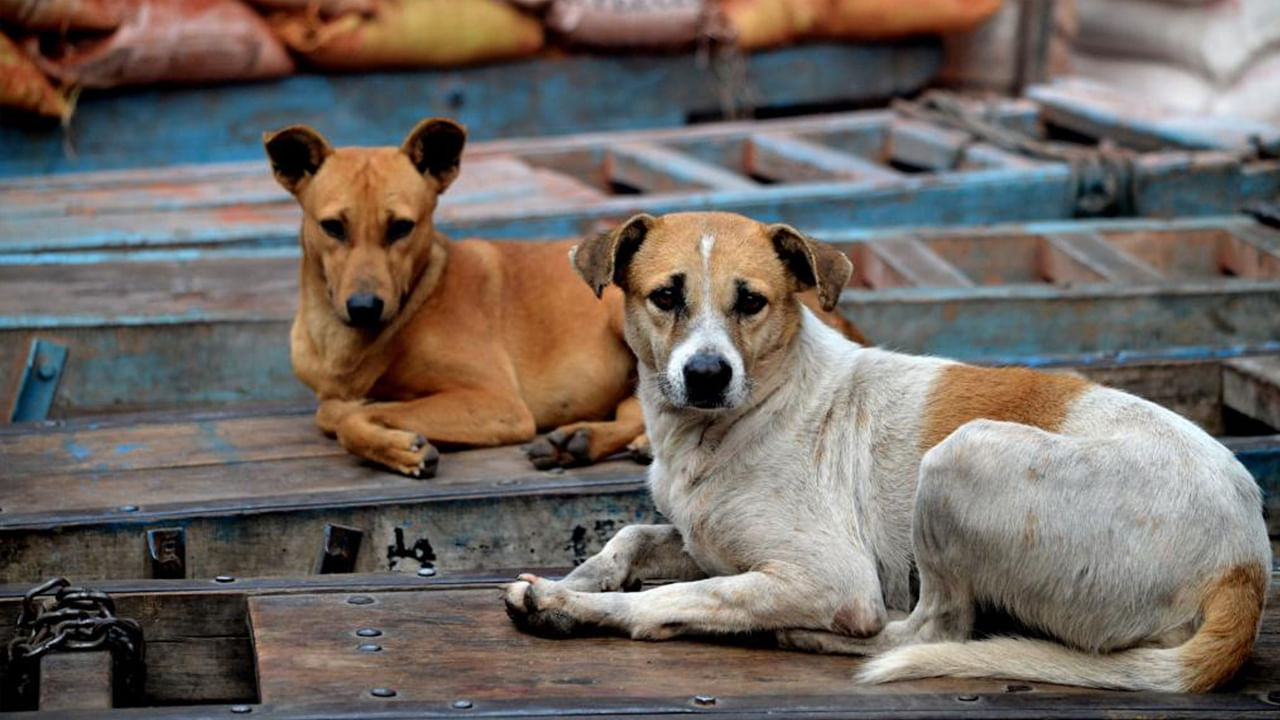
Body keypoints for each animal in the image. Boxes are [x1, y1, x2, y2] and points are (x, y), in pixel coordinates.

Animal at [258, 117, 860, 476]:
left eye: (402, 227)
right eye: (333, 227)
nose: (364, 307)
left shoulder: (497, 404)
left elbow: (344, 414)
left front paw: (396, 441)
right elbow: (336, 409)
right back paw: (583, 439)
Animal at [504, 211, 1274, 691]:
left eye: (751, 301)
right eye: (666, 296)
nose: (707, 375)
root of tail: (1246, 565)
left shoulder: (827, 576)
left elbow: (674, 599)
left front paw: (569, 606)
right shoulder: (711, 541)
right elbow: (631, 539)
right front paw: (580, 580)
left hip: (962, 457)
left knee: (931, 630)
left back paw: (810, 637)